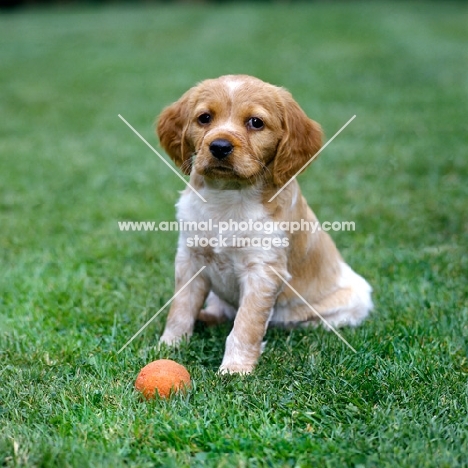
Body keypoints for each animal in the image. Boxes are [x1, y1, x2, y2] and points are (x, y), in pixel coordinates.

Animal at [157, 74, 372, 372]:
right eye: (204, 118)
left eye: (256, 122)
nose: (219, 147)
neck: (229, 196)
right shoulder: (190, 257)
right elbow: (181, 308)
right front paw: (170, 345)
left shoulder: (263, 270)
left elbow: (246, 324)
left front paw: (235, 369)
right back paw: (207, 317)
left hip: (354, 299)